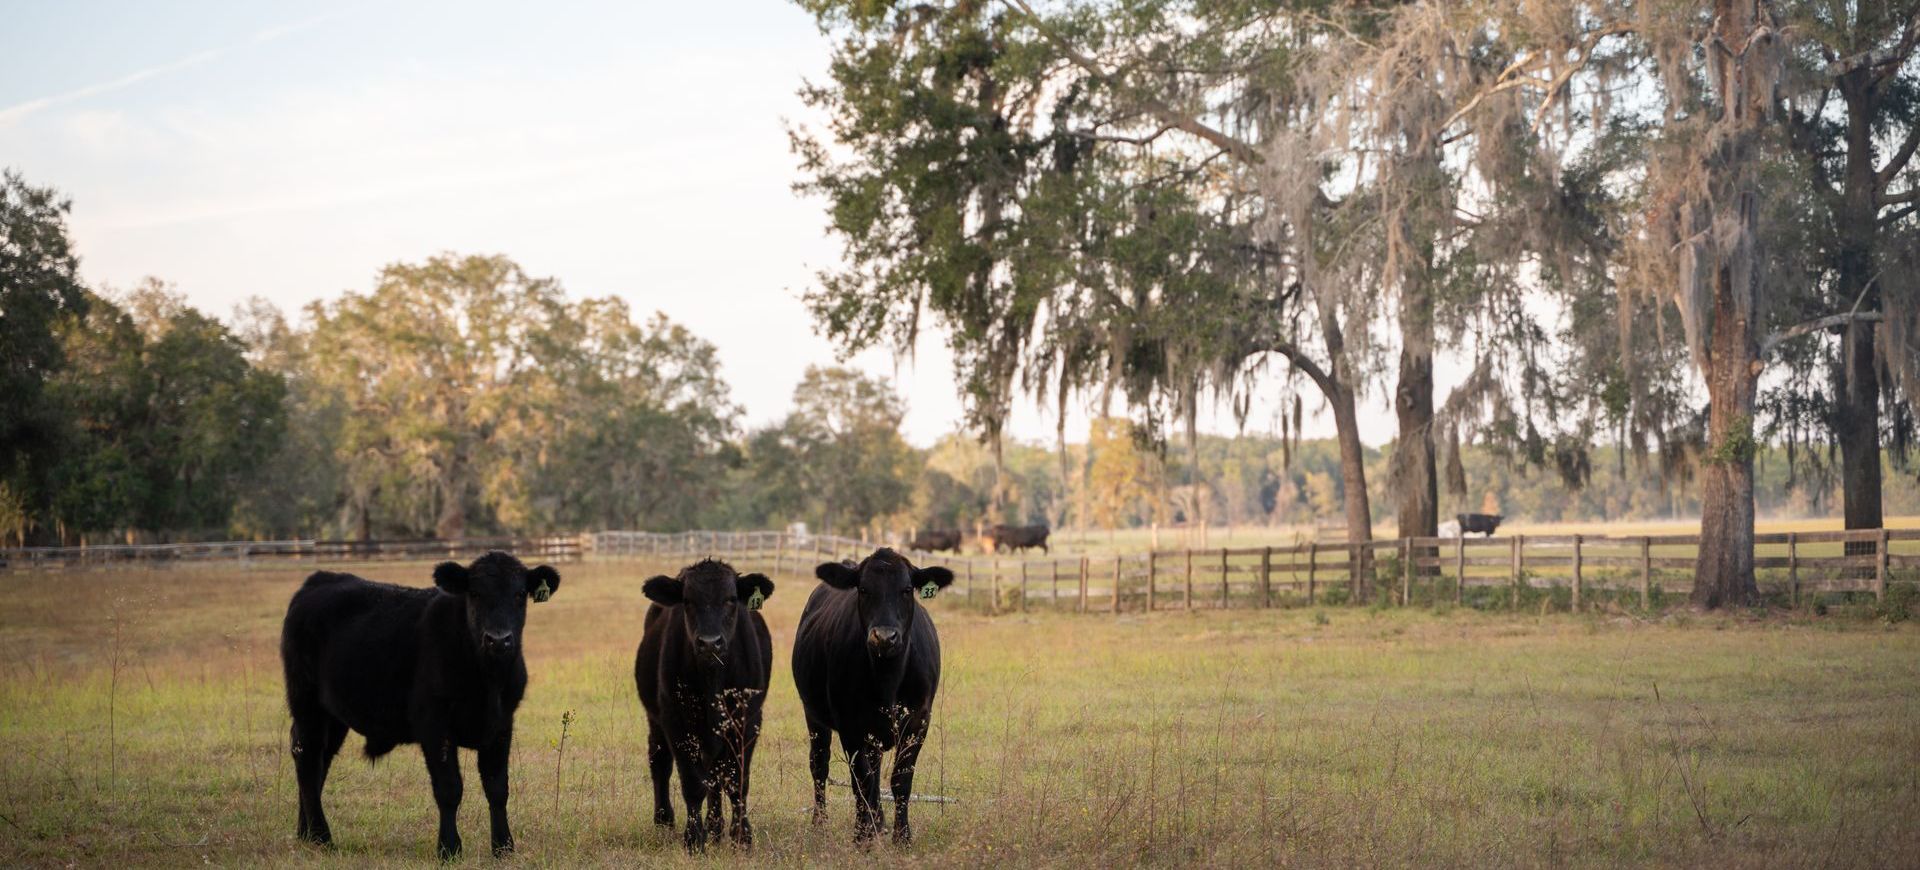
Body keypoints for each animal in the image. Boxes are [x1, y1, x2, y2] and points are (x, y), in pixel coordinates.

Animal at [279, 551, 561, 859]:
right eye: (474, 593)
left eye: (520, 594)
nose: (498, 640)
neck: (487, 681)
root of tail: (319, 578)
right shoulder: (434, 724)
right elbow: (449, 789)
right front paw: (449, 848)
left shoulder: (502, 724)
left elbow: (497, 787)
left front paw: (503, 847)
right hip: (306, 702)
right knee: (307, 759)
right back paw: (321, 836)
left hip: (334, 714)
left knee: (321, 759)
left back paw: (306, 832)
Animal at [634, 559, 775, 852]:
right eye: (687, 600)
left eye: (731, 599)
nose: (710, 642)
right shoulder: (676, 720)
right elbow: (692, 783)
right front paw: (693, 839)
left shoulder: (748, 720)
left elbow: (736, 779)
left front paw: (741, 837)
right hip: (656, 719)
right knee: (660, 760)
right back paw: (665, 819)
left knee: (716, 771)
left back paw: (716, 826)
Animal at [794, 548, 954, 843]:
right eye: (864, 589)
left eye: (907, 589)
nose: (884, 637)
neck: (887, 680)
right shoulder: (850, 724)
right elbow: (861, 779)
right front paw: (862, 836)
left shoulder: (919, 721)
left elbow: (900, 779)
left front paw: (902, 837)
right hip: (814, 715)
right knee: (820, 764)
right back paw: (821, 823)